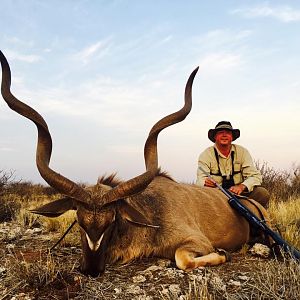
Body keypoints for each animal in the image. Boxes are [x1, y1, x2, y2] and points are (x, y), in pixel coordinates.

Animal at [0, 51, 270, 276]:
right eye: (79, 220)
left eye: (112, 221)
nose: (91, 270)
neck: (151, 212)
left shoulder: (197, 242)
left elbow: (183, 259)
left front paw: (224, 255)